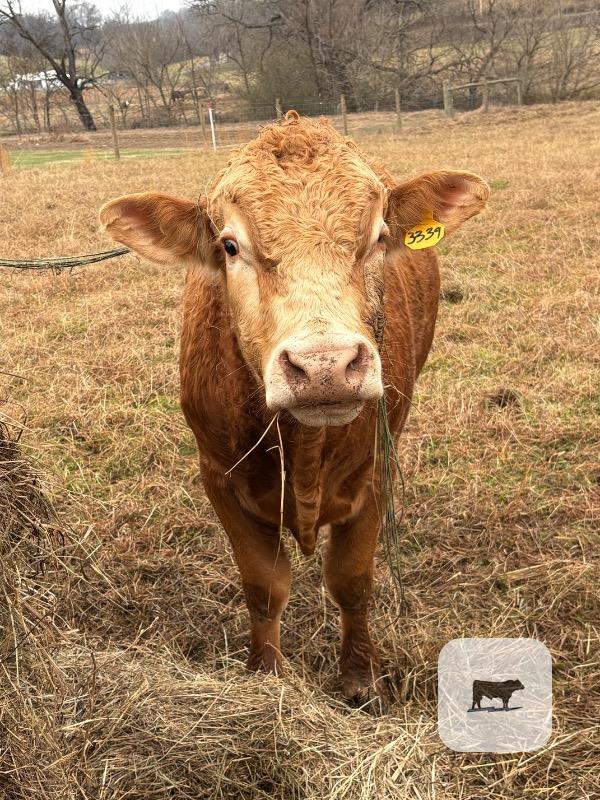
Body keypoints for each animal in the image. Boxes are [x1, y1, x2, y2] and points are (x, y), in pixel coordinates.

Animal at [100, 111, 489, 713]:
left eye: (379, 237)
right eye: (230, 245)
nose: (325, 365)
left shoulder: (376, 469)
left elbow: (351, 581)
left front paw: (359, 678)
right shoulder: (219, 478)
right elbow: (264, 586)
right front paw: (267, 674)